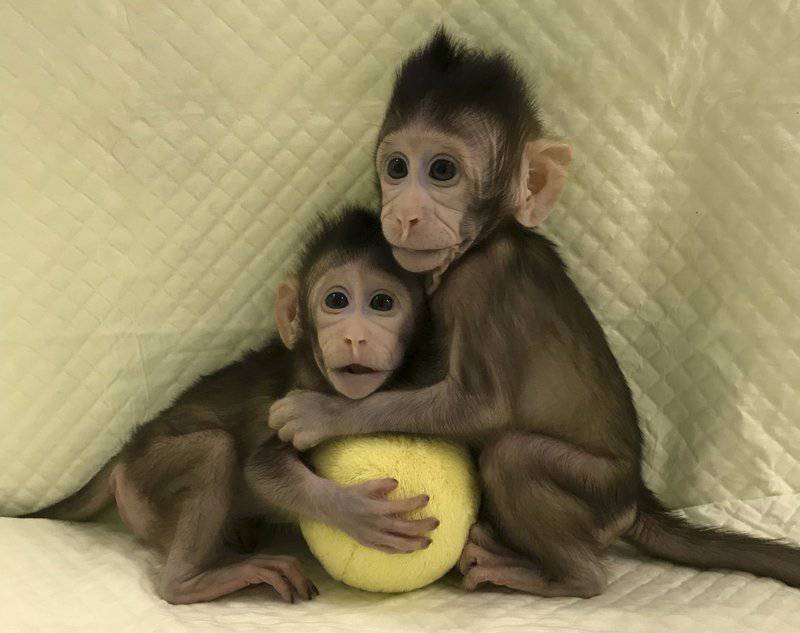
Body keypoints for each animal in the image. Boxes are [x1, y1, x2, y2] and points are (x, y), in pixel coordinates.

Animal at [25, 206, 438, 604]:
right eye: (336, 300)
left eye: (382, 303)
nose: (355, 337)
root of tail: (125, 454)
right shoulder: (294, 395)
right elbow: (262, 468)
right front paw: (355, 511)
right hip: (145, 475)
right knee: (214, 448)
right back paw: (192, 581)